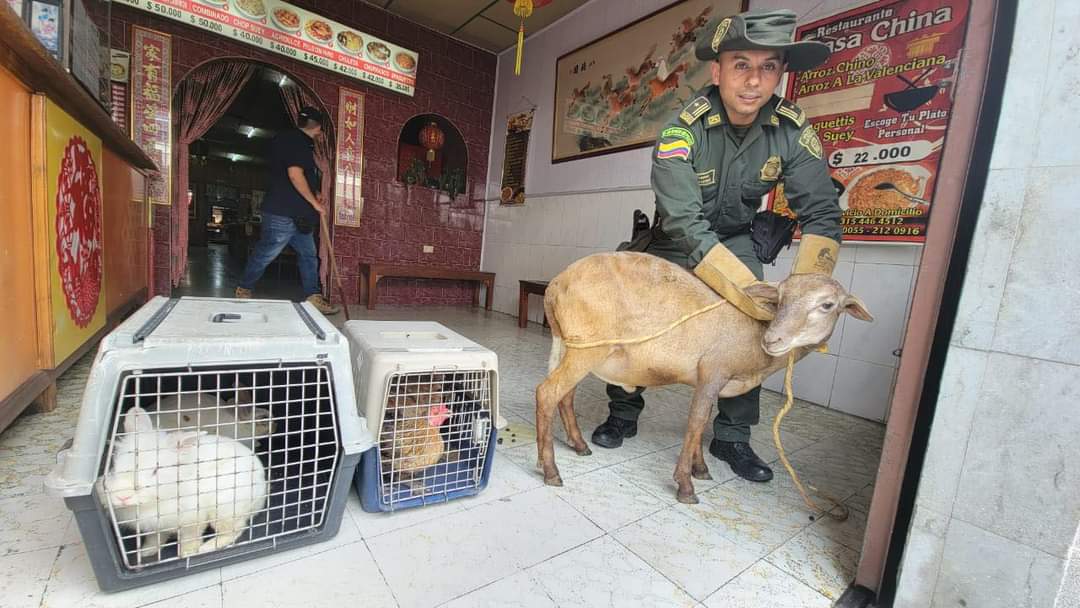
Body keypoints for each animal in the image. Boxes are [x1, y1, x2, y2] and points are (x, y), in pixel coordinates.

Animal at [100, 403, 268, 561]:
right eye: (114, 465)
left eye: (156, 470)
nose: (122, 497)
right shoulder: (156, 527)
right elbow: (155, 540)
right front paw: (146, 552)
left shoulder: (193, 520)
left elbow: (190, 538)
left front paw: (187, 553)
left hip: (224, 509)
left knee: (234, 530)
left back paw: (207, 547)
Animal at [535, 250, 872, 505]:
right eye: (780, 297)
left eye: (827, 305)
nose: (774, 339)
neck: (753, 331)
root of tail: (555, 286)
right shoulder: (713, 370)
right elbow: (696, 422)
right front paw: (686, 485)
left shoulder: (709, 380)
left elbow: (704, 420)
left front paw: (700, 468)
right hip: (587, 348)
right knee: (547, 394)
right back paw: (550, 469)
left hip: (570, 346)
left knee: (565, 395)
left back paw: (579, 445)